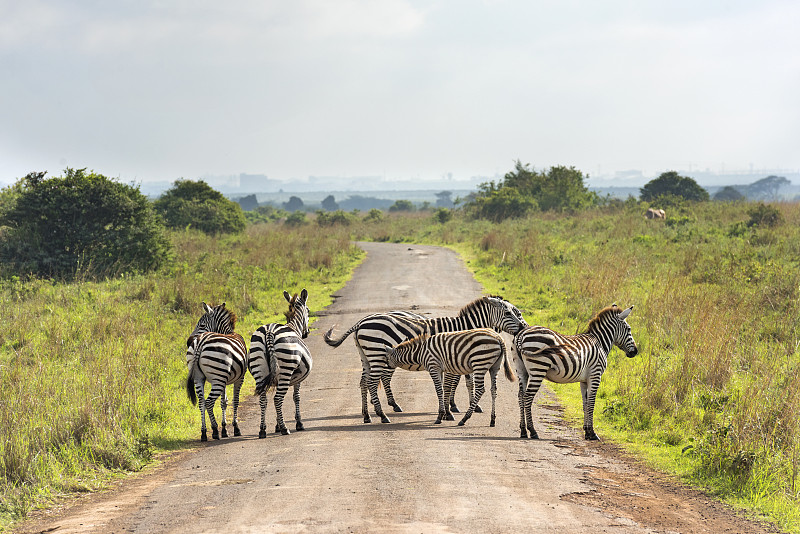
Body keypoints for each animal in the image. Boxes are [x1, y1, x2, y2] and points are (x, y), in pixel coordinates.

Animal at [184, 304, 247, 442]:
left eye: (201, 325)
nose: (188, 341)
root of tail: (200, 342)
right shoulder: (240, 378)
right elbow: (235, 400)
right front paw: (235, 428)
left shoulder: (224, 379)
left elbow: (224, 402)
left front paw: (224, 430)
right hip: (218, 379)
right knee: (208, 402)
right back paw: (214, 430)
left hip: (200, 378)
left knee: (202, 402)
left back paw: (203, 433)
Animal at [250, 292, 312, 438]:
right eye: (308, 311)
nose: (307, 333)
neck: (294, 326)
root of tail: (269, 331)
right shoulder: (297, 379)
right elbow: (296, 397)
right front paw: (298, 423)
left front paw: (277, 425)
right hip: (286, 370)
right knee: (277, 399)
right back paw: (285, 429)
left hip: (259, 370)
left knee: (263, 400)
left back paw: (262, 430)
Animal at [386, 328, 516, 430]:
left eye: (387, 358)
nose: (386, 366)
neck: (420, 352)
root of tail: (498, 337)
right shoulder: (440, 369)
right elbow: (443, 389)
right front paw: (444, 413)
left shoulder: (433, 367)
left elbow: (439, 390)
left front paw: (440, 416)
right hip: (495, 367)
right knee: (493, 390)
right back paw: (492, 420)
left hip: (479, 362)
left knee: (480, 389)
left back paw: (464, 419)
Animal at [516, 306, 640, 444]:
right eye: (629, 329)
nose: (635, 351)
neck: (600, 343)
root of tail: (522, 334)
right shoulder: (595, 375)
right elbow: (591, 404)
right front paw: (592, 433)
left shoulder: (584, 380)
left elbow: (585, 404)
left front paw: (586, 431)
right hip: (538, 368)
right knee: (528, 397)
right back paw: (533, 431)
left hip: (522, 370)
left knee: (521, 396)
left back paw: (523, 431)